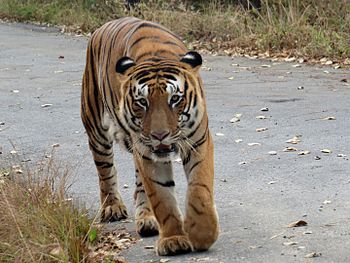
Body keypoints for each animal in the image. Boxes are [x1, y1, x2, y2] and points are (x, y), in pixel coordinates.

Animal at [81, 16, 219, 256]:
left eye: (175, 99)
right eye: (142, 102)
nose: (160, 135)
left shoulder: (199, 142)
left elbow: (199, 189)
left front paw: (202, 234)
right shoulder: (147, 154)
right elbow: (162, 197)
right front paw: (173, 240)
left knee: (139, 186)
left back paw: (147, 219)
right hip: (96, 129)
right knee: (105, 171)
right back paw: (112, 208)